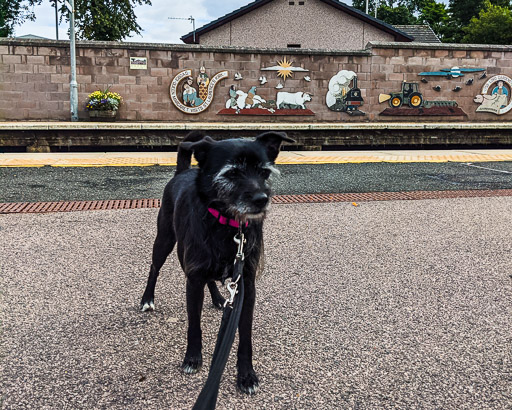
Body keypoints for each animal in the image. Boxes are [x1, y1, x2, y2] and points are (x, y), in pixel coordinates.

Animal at [141, 131, 292, 394]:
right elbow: (194, 325)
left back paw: (218, 298)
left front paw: (246, 374)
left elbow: (245, 335)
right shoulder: (192, 280)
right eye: (231, 173)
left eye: (264, 172)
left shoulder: (246, 286)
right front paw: (192, 358)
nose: (262, 199)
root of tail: (181, 172)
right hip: (165, 240)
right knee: (154, 268)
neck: (227, 224)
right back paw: (147, 298)